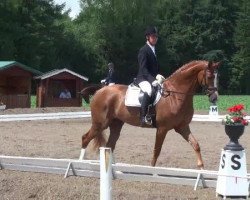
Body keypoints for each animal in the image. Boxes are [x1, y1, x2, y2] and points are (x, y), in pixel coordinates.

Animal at [79, 59, 219, 169]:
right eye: (210, 77)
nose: (214, 98)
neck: (175, 95)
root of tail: (100, 90)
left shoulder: (182, 127)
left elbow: (196, 145)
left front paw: (201, 168)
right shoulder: (162, 128)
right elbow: (157, 150)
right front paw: (152, 169)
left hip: (116, 124)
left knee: (110, 146)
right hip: (100, 124)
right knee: (85, 138)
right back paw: (79, 163)